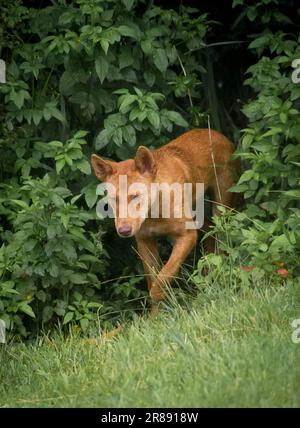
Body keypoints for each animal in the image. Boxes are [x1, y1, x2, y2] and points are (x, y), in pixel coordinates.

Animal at [91, 129, 239, 306]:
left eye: (135, 196)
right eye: (114, 199)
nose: (124, 230)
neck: (153, 214)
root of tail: (219, 135)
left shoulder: (187, 236)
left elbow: (163, 277)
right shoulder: (145, 242)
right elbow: (153, 280)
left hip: (221, 210)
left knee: (220, 245)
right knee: (209, 236)